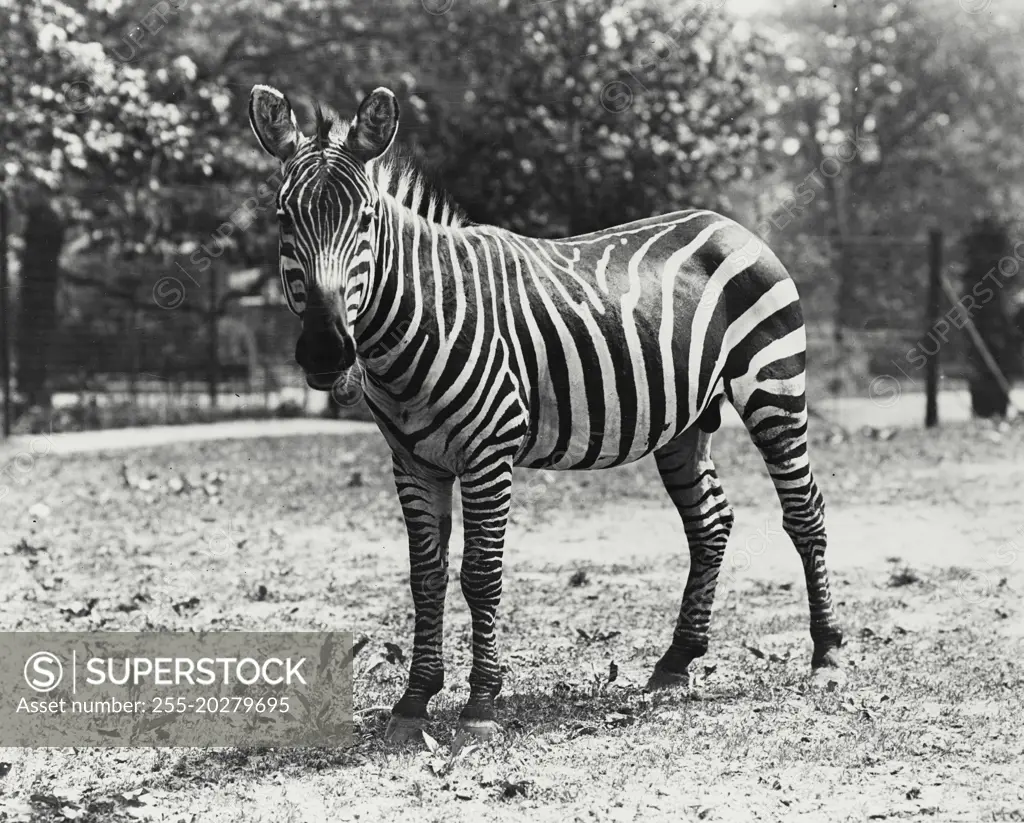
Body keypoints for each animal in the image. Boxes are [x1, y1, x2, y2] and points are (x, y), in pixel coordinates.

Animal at [249, 84, 847, 745]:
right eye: (283, 218)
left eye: (366, 220)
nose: (326, 351)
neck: (420, 322)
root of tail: (730, 224)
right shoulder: (412, 463)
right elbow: (425, 578)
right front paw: (415, 699)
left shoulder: (489, 455)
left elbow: (480, 575)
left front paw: (482, 701)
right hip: (686, 424)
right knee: (710, 523)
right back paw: (676, 660)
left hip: (774, 389)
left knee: (805, 513)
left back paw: (826, 653)